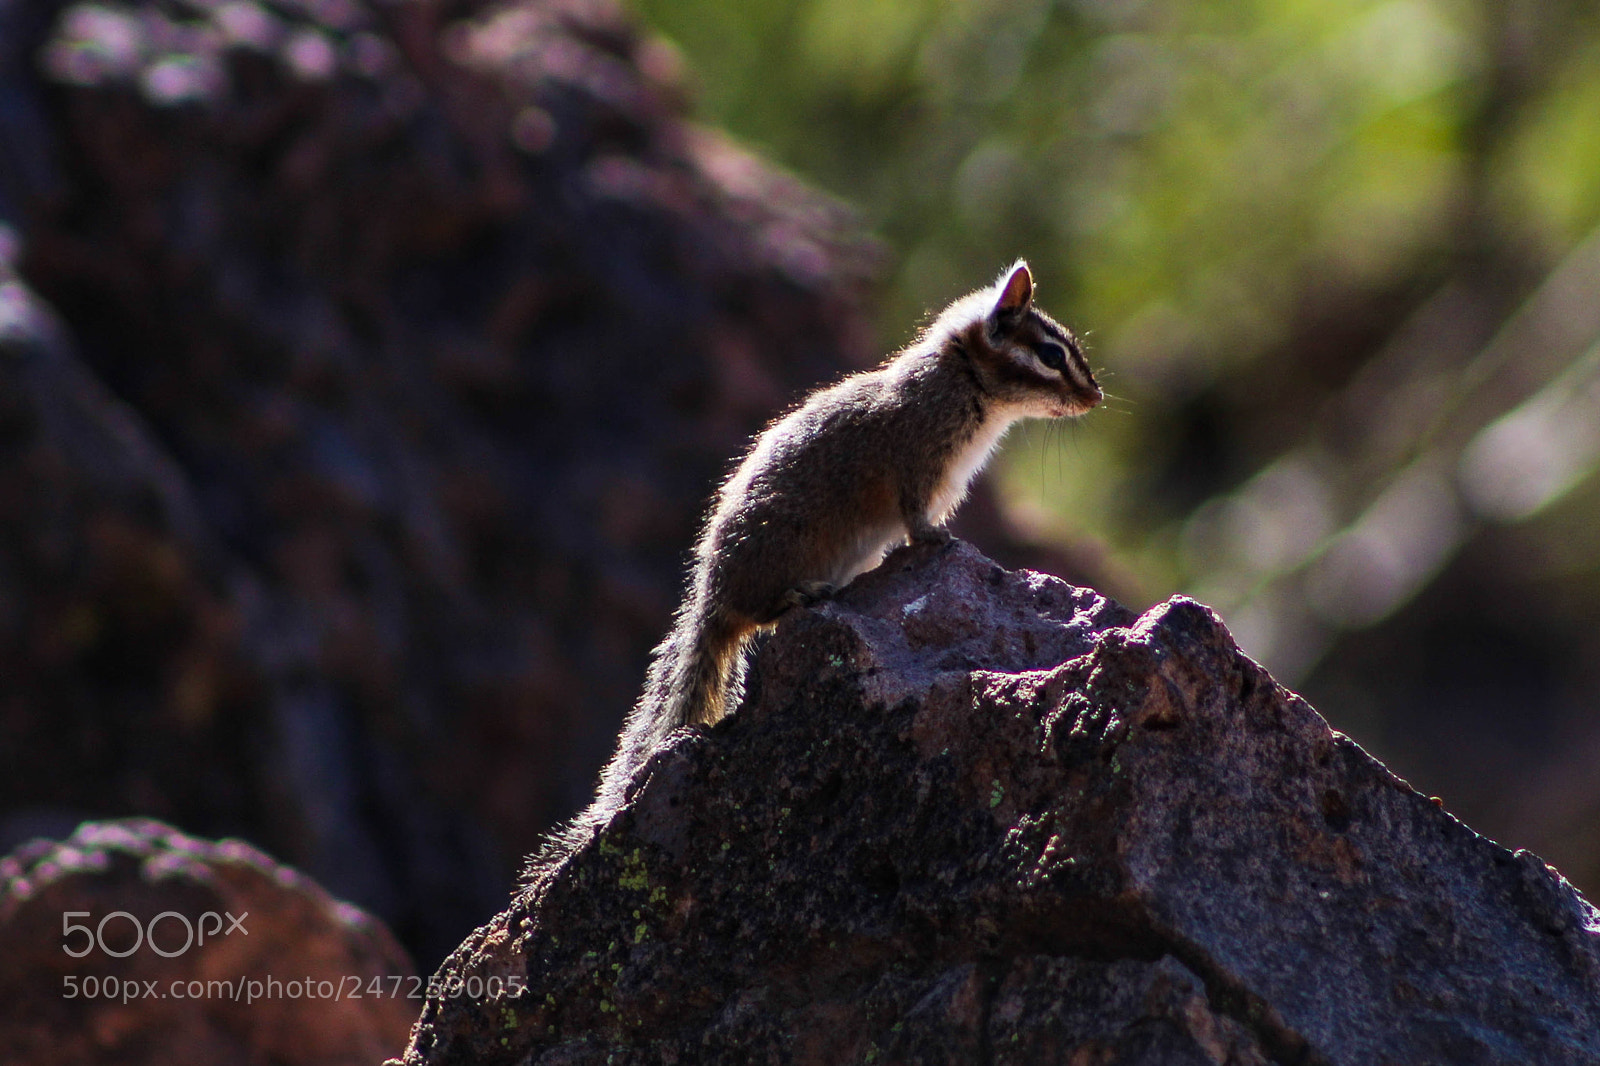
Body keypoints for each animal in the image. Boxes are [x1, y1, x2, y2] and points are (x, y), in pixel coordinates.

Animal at [525, 260, 1100, 884]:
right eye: (1050, 354)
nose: (1096, 397)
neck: (962, 377)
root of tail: (710, 600)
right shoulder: (917, 469)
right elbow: (915, 518)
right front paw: (936, 540)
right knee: (760, 612)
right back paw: (805, 592)